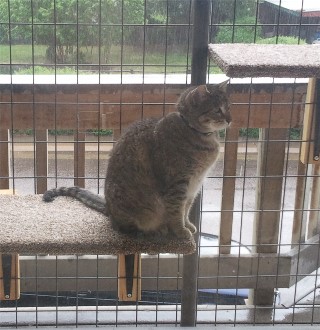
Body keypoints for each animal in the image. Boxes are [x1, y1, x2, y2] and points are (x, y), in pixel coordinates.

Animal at [43, 81, 231, 238]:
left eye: (229, 107)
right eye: (217, 110)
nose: (230, 120)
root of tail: (109, 209)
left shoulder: (194, 185)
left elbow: (186, 209)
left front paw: (188, 226)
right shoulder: (177, 184)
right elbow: (177, 211)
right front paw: (181, 231)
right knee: (125, 227)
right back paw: (156, 229)